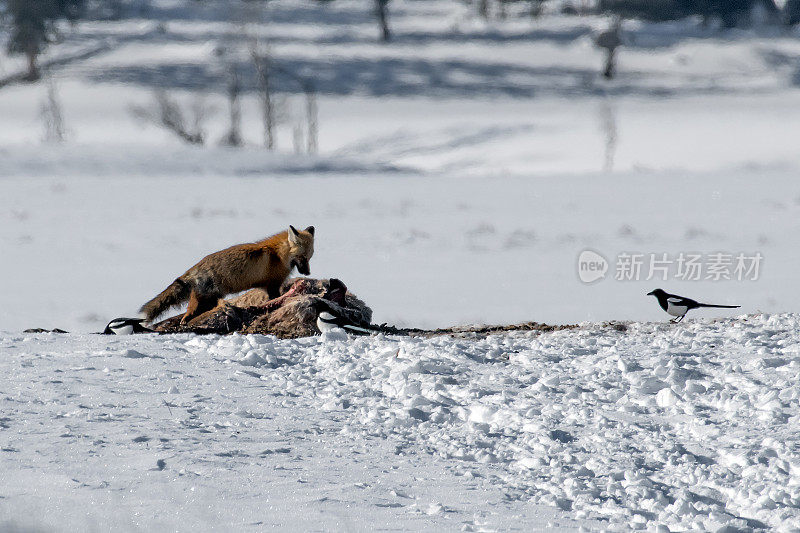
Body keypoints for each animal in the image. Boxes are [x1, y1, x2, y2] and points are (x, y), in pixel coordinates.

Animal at [139, 224, 314, 324]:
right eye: (303, 258)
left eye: (310, 257)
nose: (308, 273)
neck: (278, 255)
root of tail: (194, 268)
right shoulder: (272, 285)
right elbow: (275, 299)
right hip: (205, 300)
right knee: (187, 316)